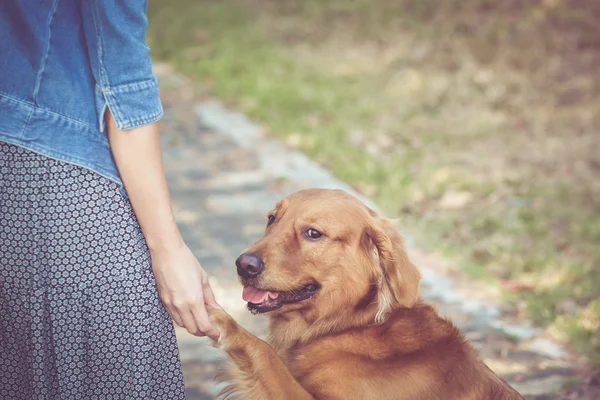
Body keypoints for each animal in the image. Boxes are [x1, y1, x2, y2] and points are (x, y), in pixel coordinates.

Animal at [207, 188, 524, 400]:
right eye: (272, 219)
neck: (352, 323)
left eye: (313, 233)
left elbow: (266, 353)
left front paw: (224, 321)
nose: (243, 265)